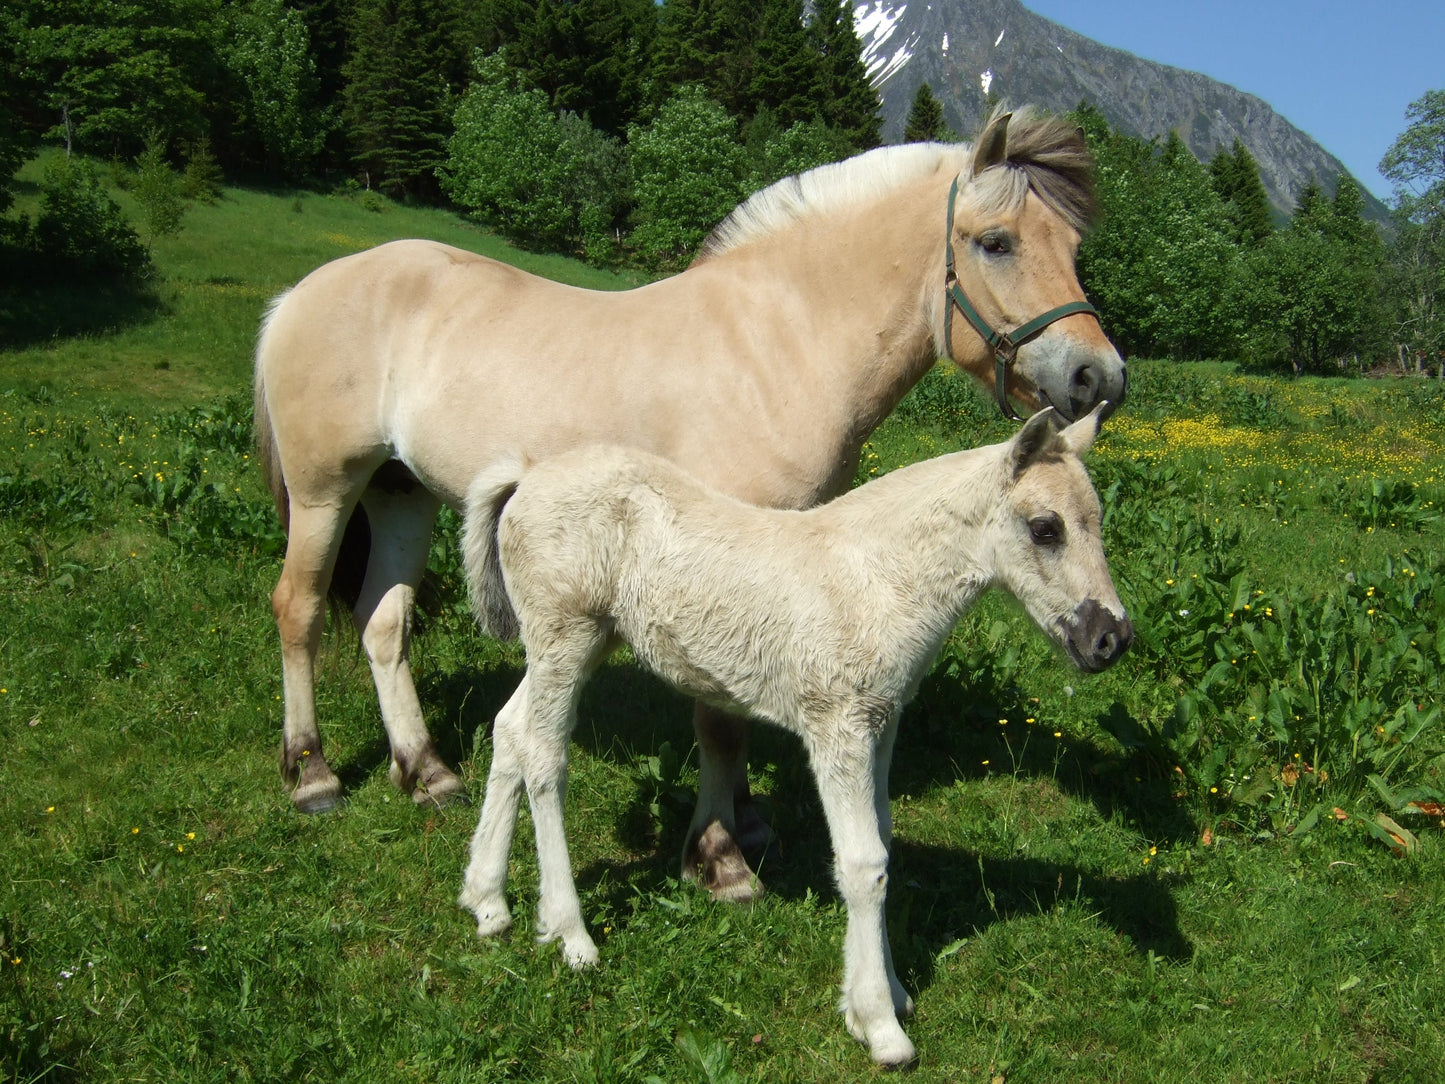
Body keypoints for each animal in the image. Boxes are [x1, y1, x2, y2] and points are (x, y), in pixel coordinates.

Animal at [252, 107, 1126, 901]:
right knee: (298, 607)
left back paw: (425, 770)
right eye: (995, 242)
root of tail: (298, 294)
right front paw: (720, 859)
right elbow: (718, 719)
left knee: (383, 622)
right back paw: (312, 773)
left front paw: (745, 821)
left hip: (401, 494)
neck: (777, 343)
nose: (1100, 379)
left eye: (1073, 247)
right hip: (328, 491)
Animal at [456, 405, 1131, 1067]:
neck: (876, 577)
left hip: (580, 643)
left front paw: (889, 992)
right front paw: (880, 1025)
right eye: (1045, 528)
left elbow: (883, 838)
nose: (1111, 640)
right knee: (545, 757)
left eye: (1097, 519)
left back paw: (487, 900)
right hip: (565, 638)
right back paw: (569, 933)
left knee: (510, 730)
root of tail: (527, 477)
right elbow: (863, 863)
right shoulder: (838, 727)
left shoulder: (883, 723)